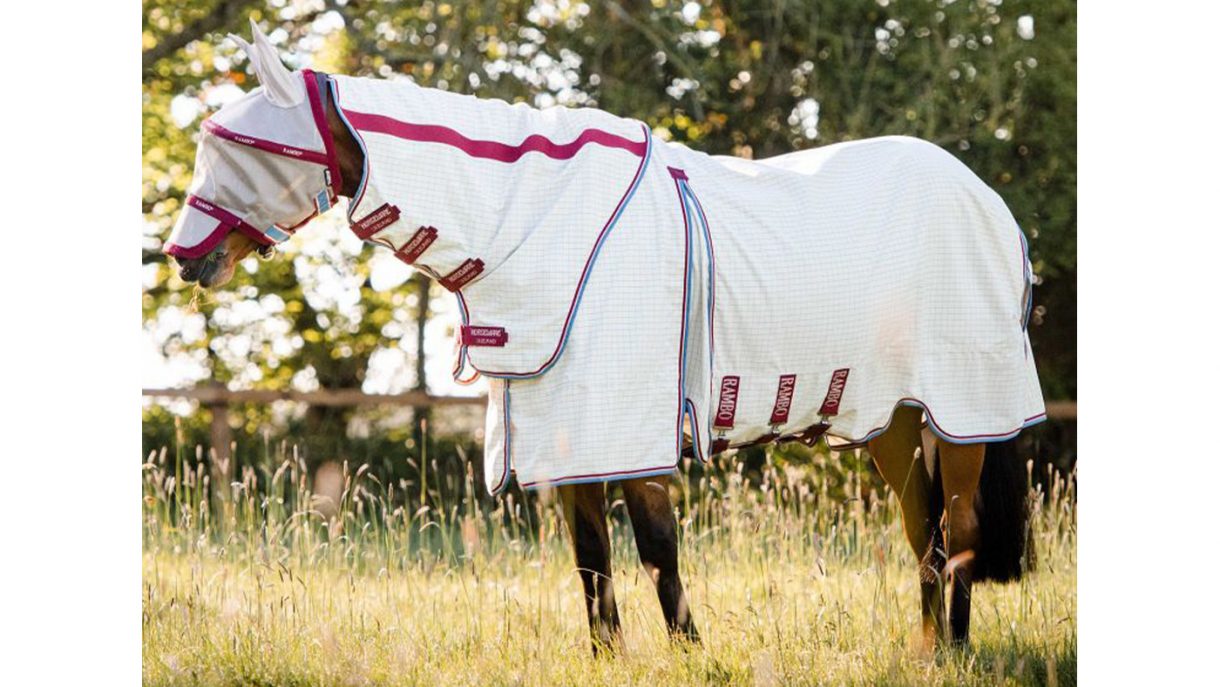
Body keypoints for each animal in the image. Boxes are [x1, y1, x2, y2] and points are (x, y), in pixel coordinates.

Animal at [166, 22, 1042, 653]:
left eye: (238, 148)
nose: (182, 256)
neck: (535, 221)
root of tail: (985, 198)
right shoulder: (569, 444)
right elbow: (592, 560)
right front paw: (608, 657)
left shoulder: (626, 435)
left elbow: (657, 550)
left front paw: (693, 656)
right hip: (892, 418)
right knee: (924, 532)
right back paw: (926, 649)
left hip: (962, 414)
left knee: (960, 533)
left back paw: (954, 649)